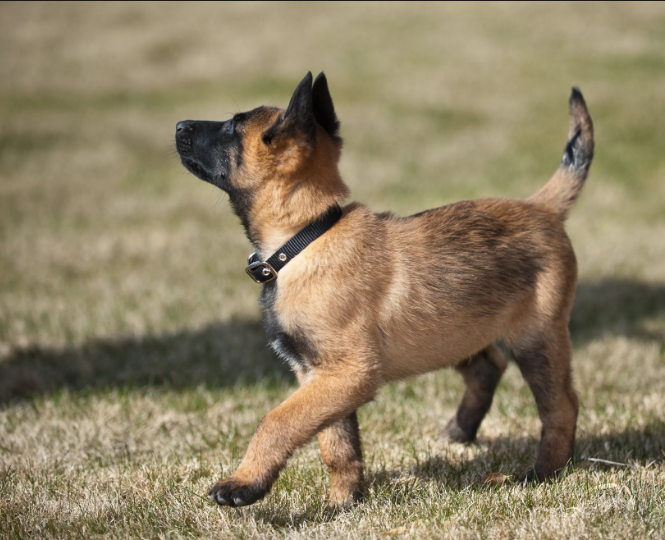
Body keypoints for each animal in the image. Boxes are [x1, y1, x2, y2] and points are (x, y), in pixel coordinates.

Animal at [174, 71, 592, 506]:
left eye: (231, 128)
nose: (179, 125)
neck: (305, 238)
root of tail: (541, 207)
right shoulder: (318, 375)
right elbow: (337, 445)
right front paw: (343, 502)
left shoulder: (348, 373)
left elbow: (277, 421)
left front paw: (244, 483)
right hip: (453, 329)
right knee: (490, 366)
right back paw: (460, 431)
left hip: (535, 338)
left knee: (561, 406)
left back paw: (544, 472)